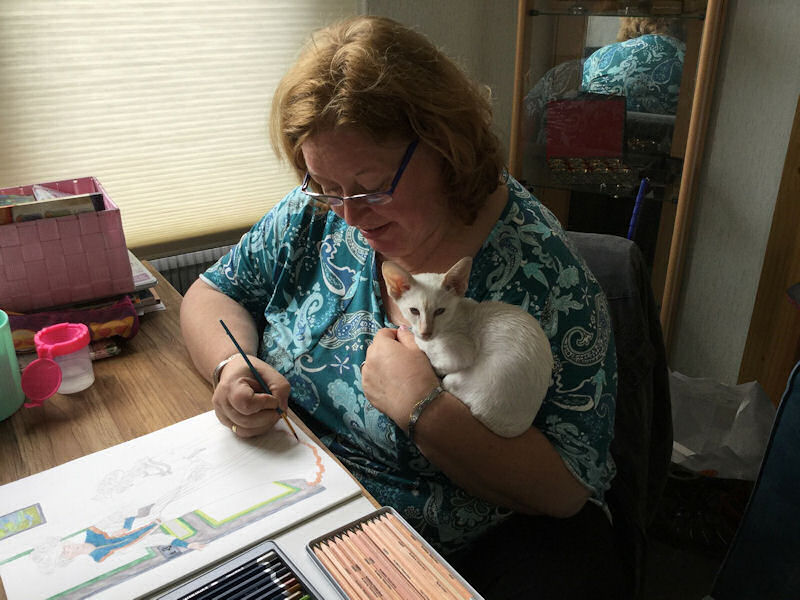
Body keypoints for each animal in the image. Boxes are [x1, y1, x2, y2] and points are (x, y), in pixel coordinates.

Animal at [382, 256, 554, 437]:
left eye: (440, 311)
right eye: (414, 311)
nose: (425, 332)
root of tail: (514, 429)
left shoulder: (461, 355)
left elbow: (436, 361)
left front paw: (427, 354)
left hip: (460, 380)